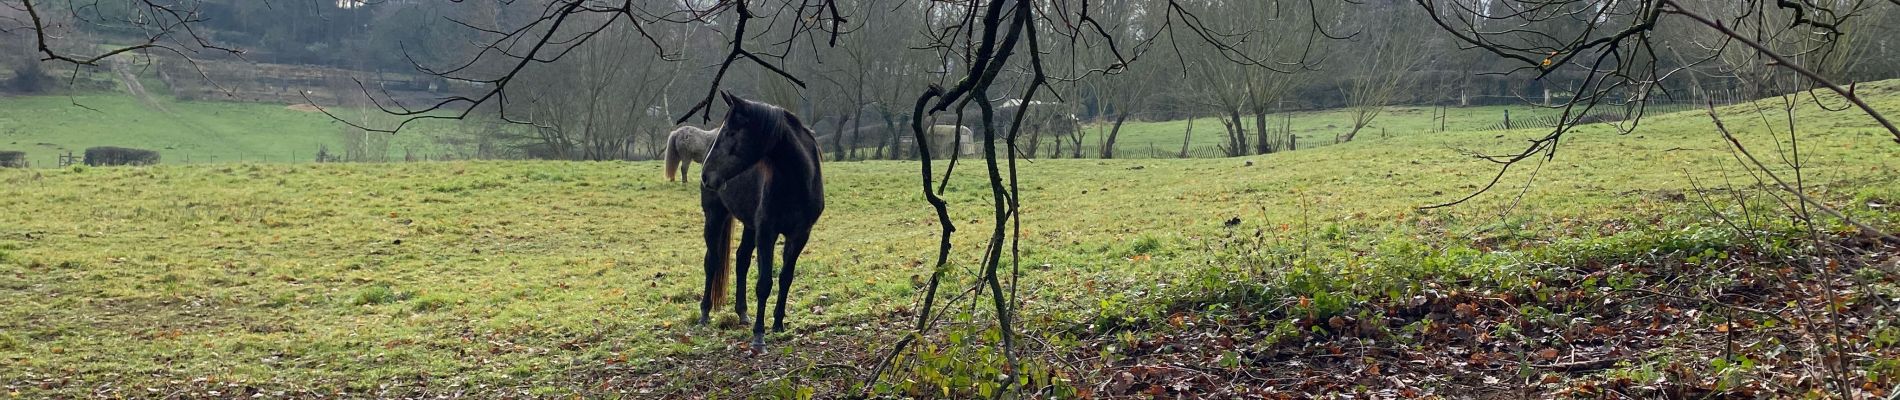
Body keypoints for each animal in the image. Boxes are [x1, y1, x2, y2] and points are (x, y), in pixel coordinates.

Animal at [695, 90, 820, 346]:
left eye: (732, 132)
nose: (706, 175)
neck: (798, 182)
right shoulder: (766, 233)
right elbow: (764, 283)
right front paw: (759, 335)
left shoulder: (799, 235)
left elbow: (785, 278)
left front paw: (778, 323)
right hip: (714, 216)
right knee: (711, 261)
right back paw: (704, 313)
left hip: (749, 225)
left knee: (742, 259)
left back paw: (742, 313)